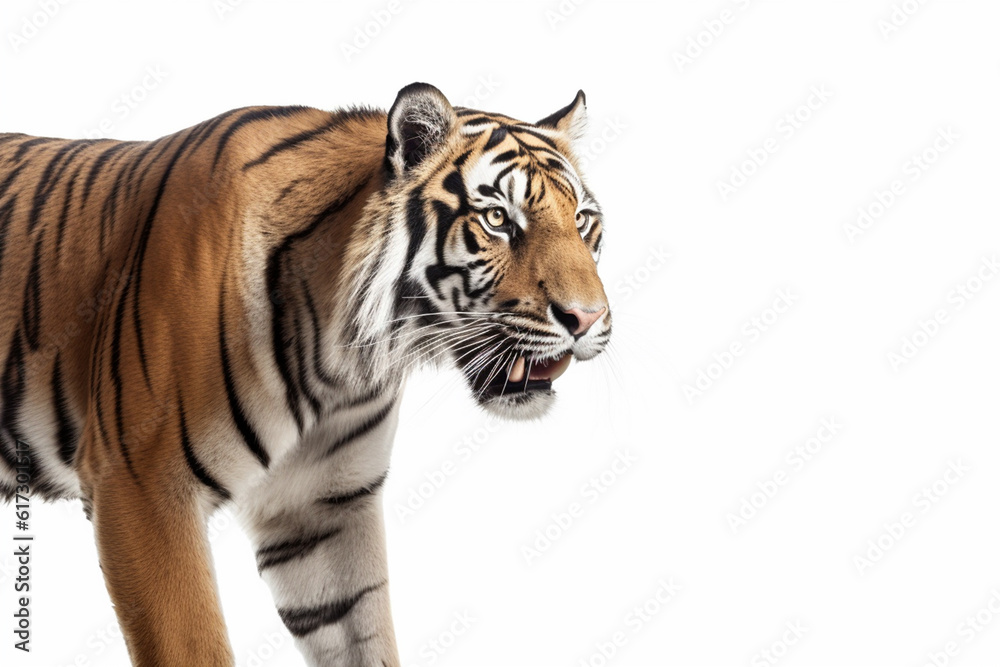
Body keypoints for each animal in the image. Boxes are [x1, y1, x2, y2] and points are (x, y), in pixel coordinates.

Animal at [0, 82, 611, 666]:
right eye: (497, 219)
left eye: (582, 220)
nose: (588, 318)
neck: (342, 356)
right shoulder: (141, 485)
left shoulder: (320, 507)